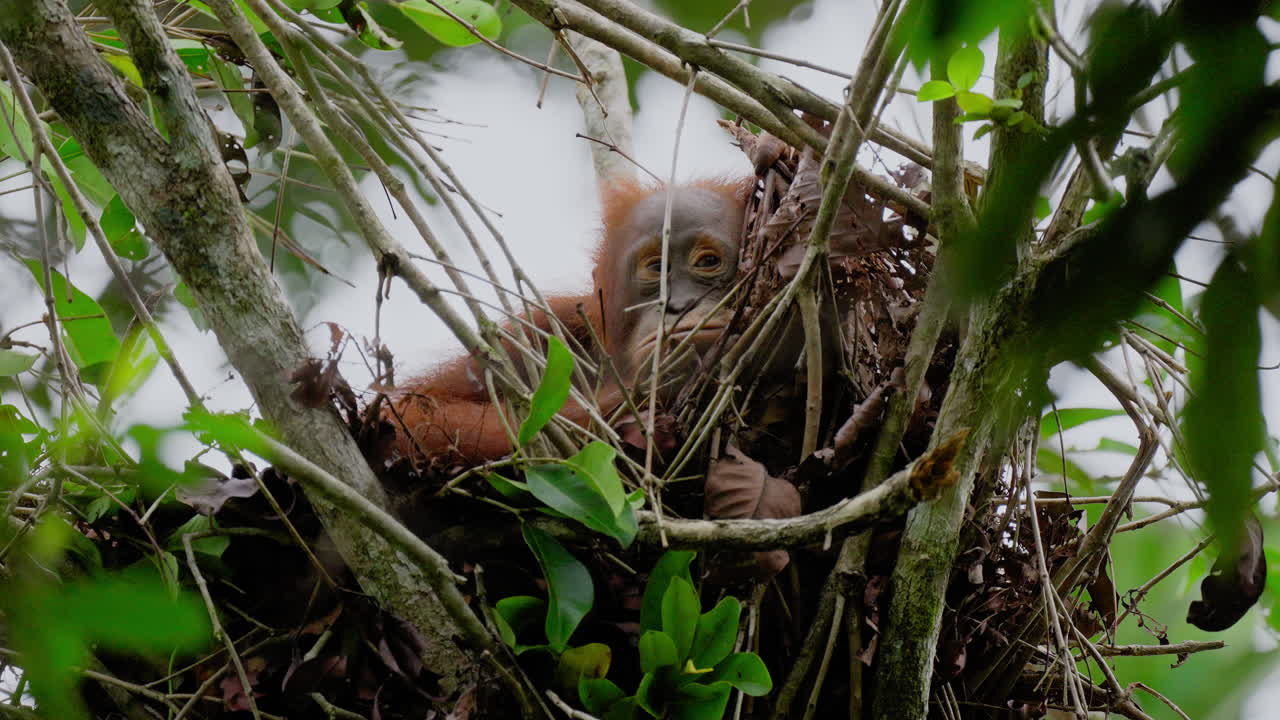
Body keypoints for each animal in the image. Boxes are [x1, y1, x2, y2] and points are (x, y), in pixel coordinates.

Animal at [391, 178, 754, 466]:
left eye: (707, 261)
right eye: (656, 266)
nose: (678, 305)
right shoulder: (536, 333)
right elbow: (411, 413)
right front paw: (635, 393)